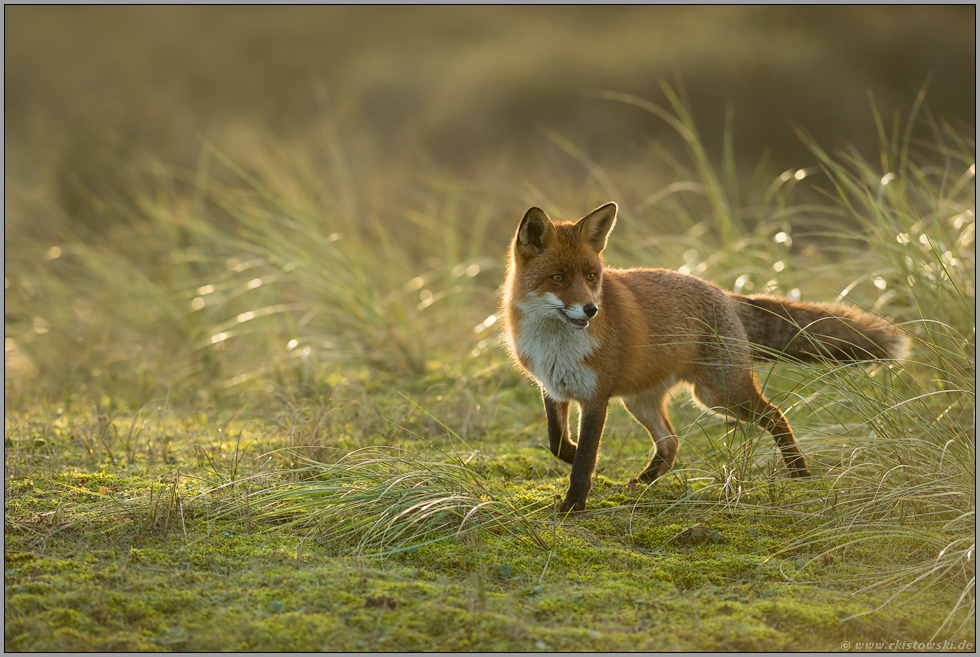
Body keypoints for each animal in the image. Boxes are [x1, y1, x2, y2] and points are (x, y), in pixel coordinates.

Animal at [502, 201, 908, 512]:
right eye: (558, 277)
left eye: (590, 276)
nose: (591, 309)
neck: (555, 342)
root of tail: (724, 292)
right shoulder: (554, 387)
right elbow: (557, 443)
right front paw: (573, 462)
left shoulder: (596, 397)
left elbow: (586, 458)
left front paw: (573, 505)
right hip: (642, 400)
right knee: (670, 442)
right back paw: (642, 481)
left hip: (718, 394)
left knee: (776, 415)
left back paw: (799, 472)